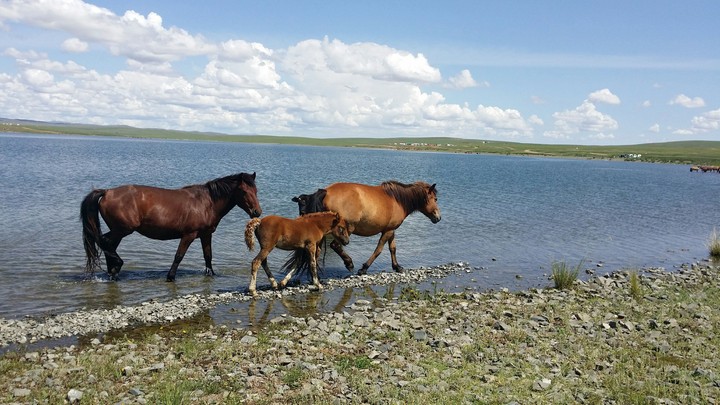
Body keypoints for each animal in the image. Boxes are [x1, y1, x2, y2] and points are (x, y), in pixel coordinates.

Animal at [81, 172, 262, 281]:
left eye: (256, 190)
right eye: (244, 191)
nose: (257, 211)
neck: (207, 202)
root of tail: (107, 192)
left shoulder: (206, 235)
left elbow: (208, 256)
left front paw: (211, 274)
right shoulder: (189, 235)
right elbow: (179, 256)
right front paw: (170, 276)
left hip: (120, 231)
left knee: (107, 244)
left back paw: (113, 271)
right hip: (122, 230)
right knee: (105, 241)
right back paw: (116, 266)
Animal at [292, 180, 441, 274]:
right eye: (435, 199)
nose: (438, 217)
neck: (397, 200)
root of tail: (326, 192)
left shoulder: (390, 229)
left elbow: (392, 248)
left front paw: (397, 267)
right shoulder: (388, 230)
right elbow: (379, 249)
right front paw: (364, 268)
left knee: (316, 252)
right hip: (346, 230)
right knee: (335, 245)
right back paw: (349, 263)